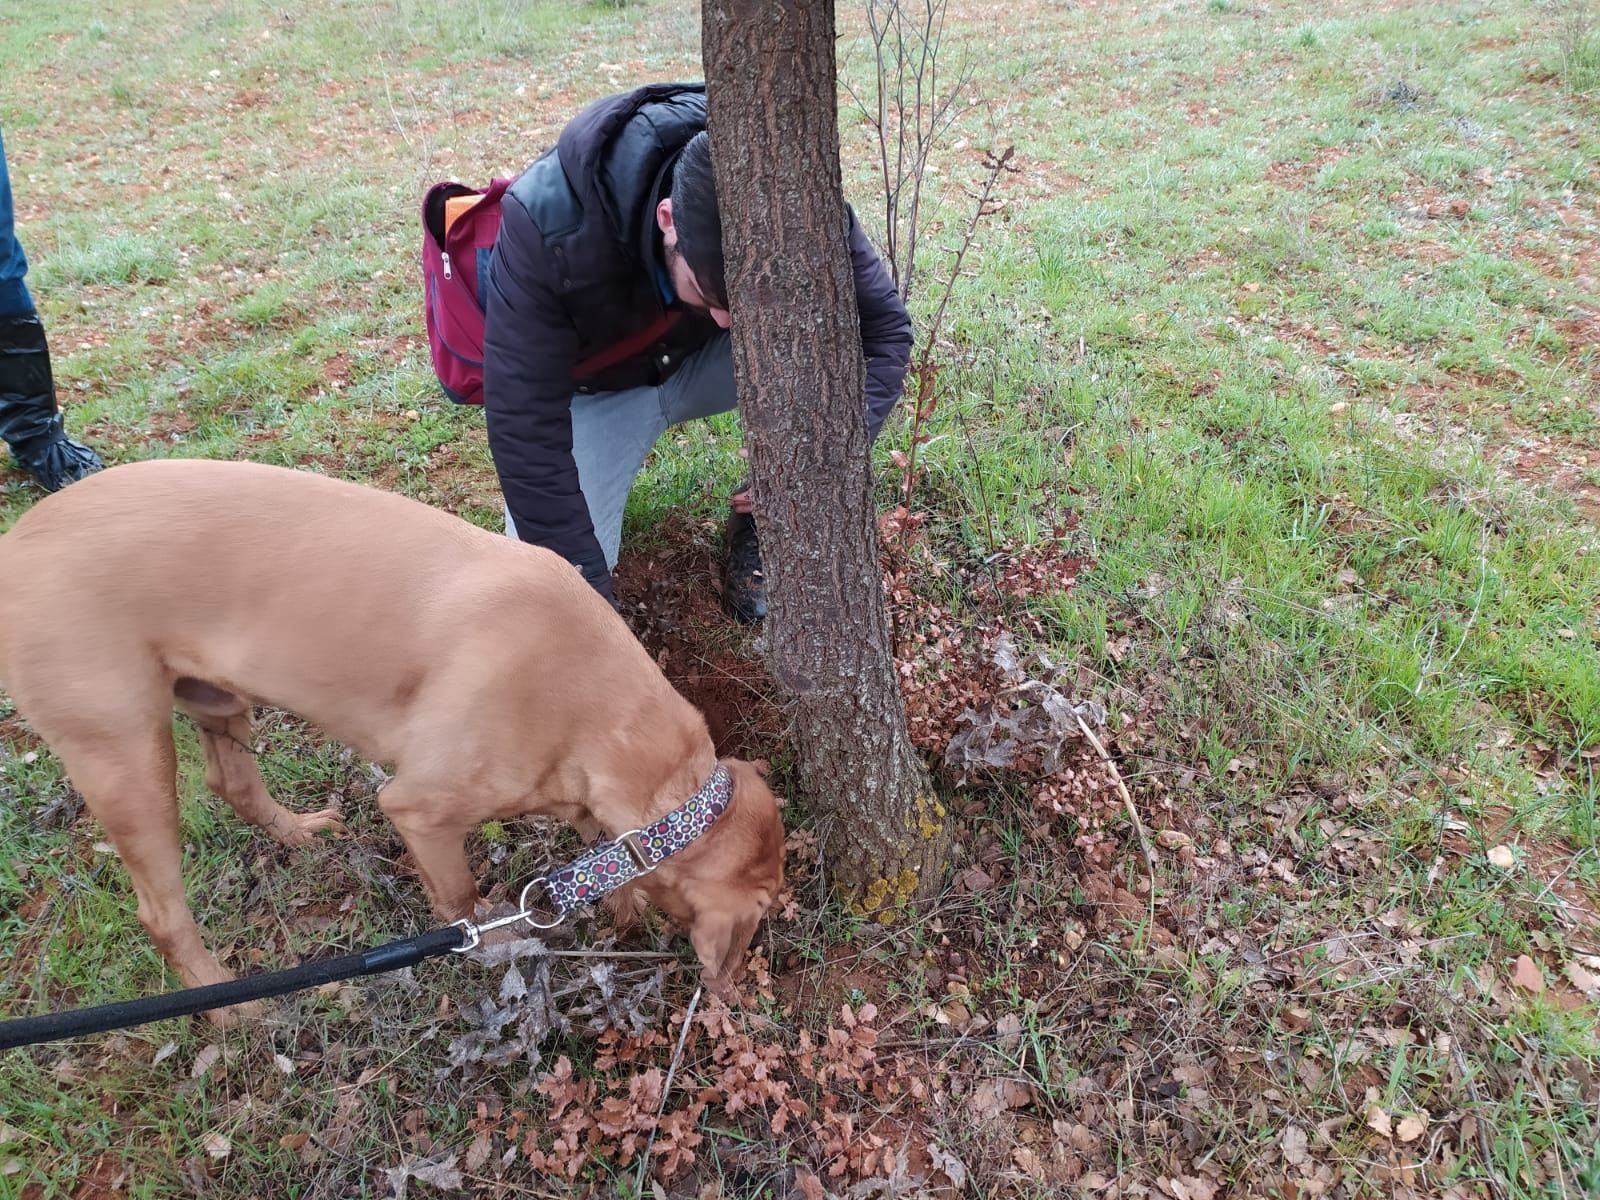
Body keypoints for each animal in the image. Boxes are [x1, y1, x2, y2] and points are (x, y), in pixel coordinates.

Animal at [0, 457, 780, 1017]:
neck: (594, 700)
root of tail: (16, 544)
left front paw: (616, 902)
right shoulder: (421, 811)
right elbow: (461, 901)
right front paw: (494, 943)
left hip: (213, 699)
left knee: (232, 783)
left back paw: (295, 831)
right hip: (125, 757)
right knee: (161, 913)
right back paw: (227, 1007)